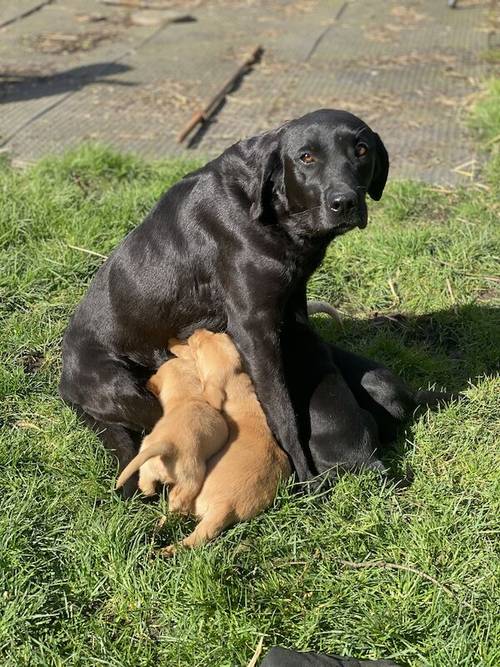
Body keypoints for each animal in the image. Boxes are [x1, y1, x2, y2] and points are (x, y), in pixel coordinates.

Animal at [60, 109, 448, 494]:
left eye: (362, 150)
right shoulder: (253, 328)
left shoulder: (293, 302)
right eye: (306, 157)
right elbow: (283, 414)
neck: (271, 210)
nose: (345, 202)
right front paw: (304, 480)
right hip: (127, 386)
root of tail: (66, 384)